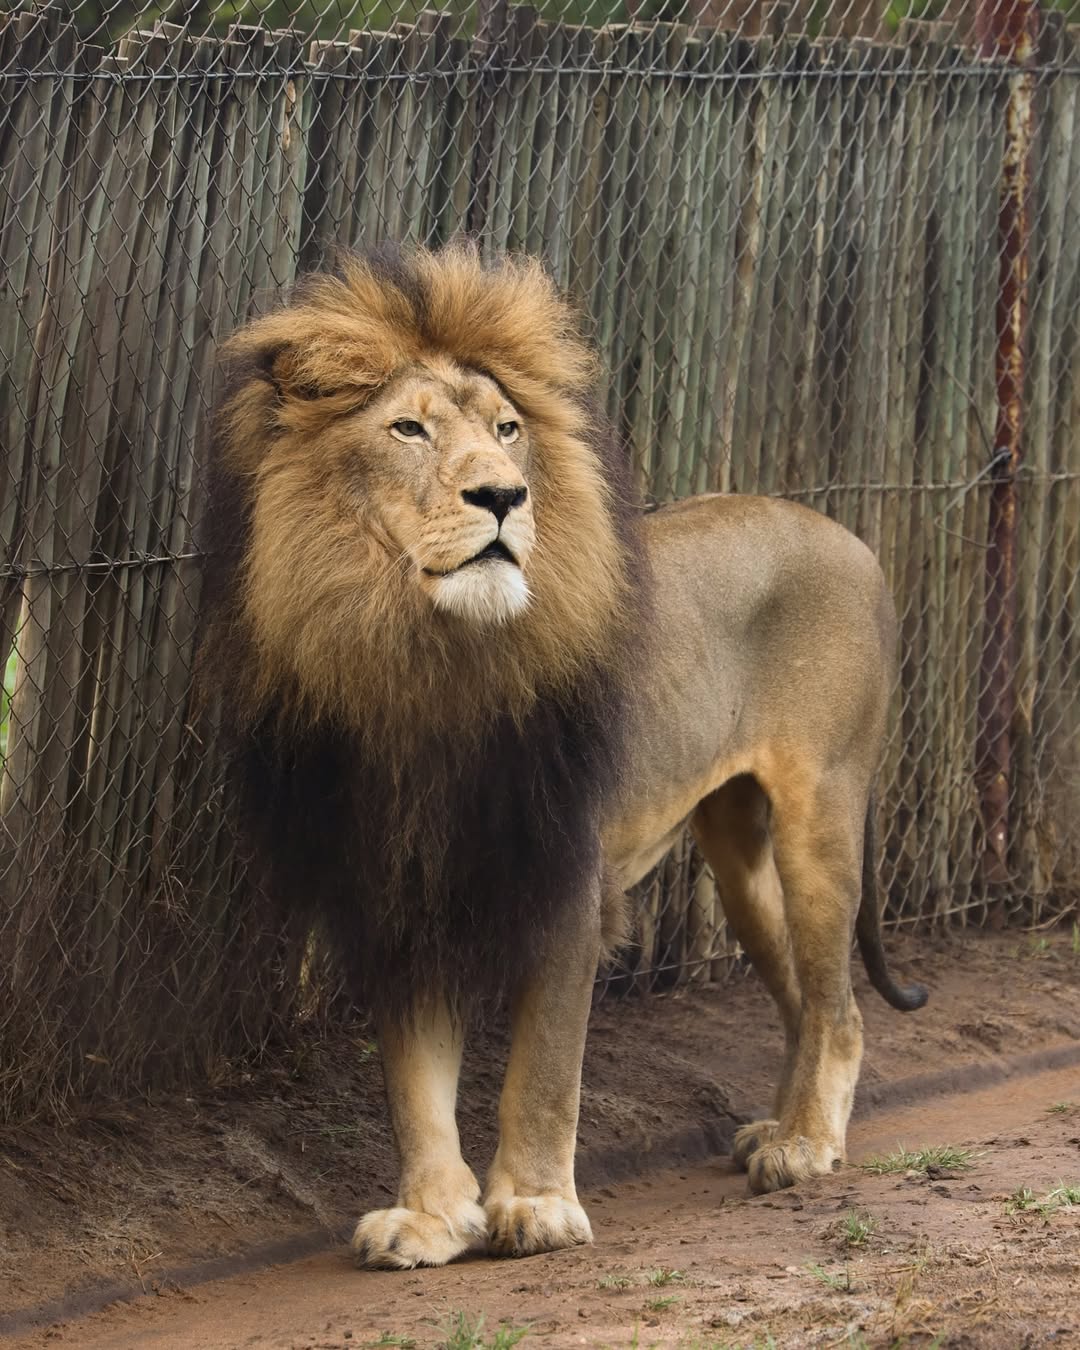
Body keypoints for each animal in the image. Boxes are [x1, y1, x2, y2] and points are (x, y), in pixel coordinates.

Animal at [198, 241, 926, 1271]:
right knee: (796, 997)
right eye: (408, 428)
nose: (505, 493)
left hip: (819, 812)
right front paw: (430, 1217)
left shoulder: (565, 883)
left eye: (508, 429)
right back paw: (776, 1128)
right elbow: (413, 1082)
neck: (432, 665)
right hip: (737, 850)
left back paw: (806, 1147)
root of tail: (849, 535)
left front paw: (535, 1207)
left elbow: (541, 1071)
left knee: (841, 1009)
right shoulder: (401, 889)